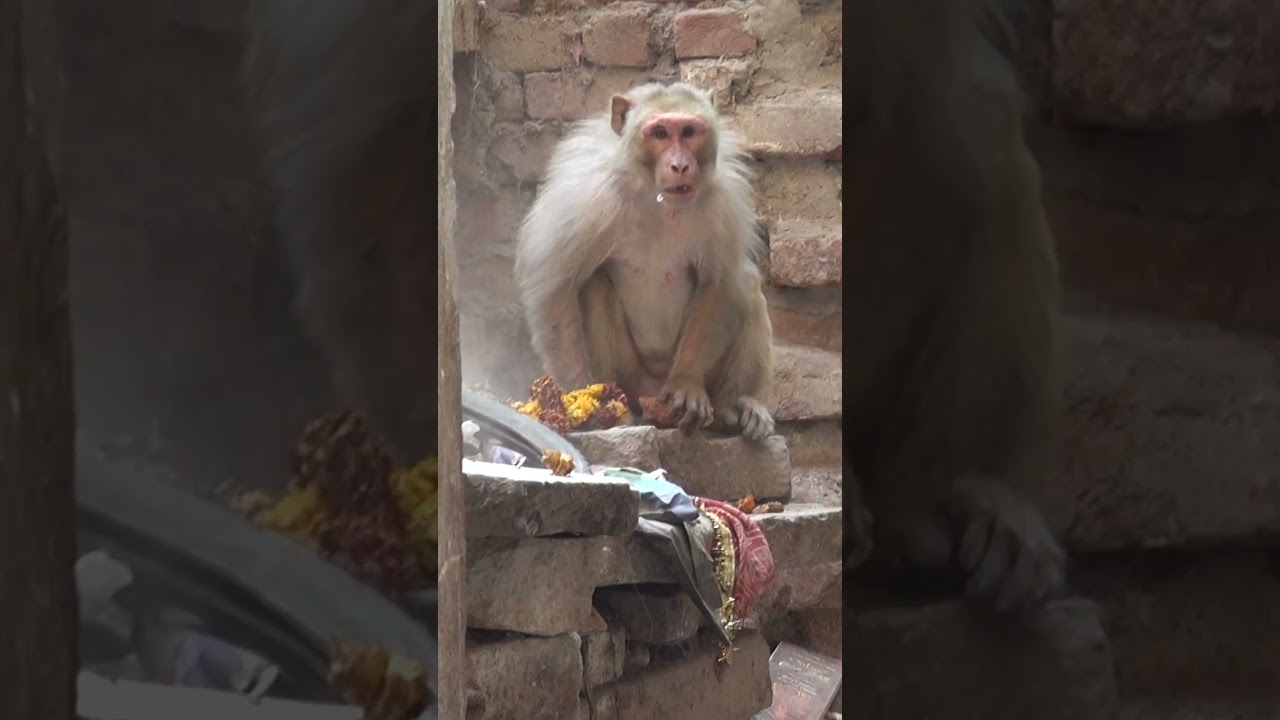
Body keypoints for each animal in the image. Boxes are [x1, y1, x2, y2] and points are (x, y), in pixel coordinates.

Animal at [514, 83, 777, 442]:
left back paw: (735, 407)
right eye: (661, 133)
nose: (679, 165)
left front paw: (686, 385)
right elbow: (556, 289)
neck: (657, 198)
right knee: (594, 283)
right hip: (632, 380)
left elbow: (720, 284)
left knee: (746, 287)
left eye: (689, 131)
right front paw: (580, 397)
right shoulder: (588, 201)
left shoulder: (722, 204)